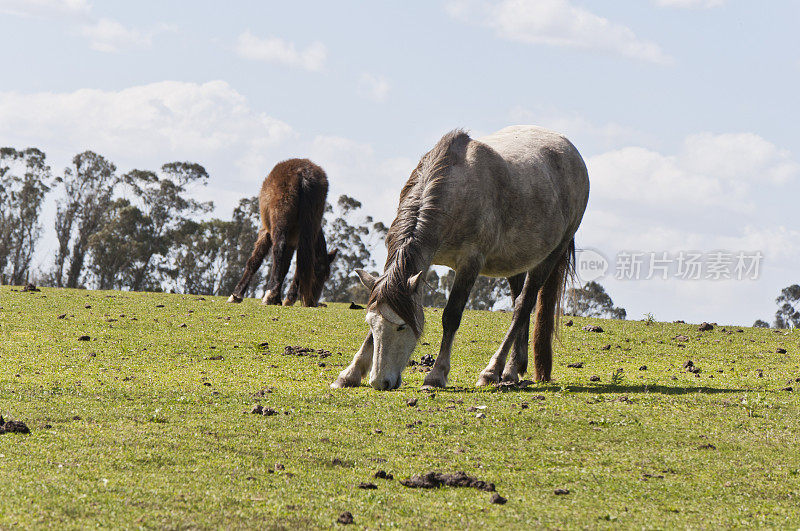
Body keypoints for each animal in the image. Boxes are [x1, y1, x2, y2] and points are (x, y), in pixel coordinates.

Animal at [227, 158, 336, 308]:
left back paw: (269, 295)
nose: (314, 302)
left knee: (278, 249)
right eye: (318, 274)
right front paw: (279, 299)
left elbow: (255, 261)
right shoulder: (292, 242)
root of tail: (303, 174)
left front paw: (236, 295)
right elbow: (285, 267)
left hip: (280, 223)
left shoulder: (266, 232)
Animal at [330, 124, 588, 390]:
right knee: (520, 304)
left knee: (522, 306)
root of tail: (572, 153)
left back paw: (492, 370)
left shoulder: (469, 264)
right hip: (516, 261)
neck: (454, 189)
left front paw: (436, 374)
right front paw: (350, 373)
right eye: (371, 324)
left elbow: (451, 316)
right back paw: (512, 370)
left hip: (550, 256)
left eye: (401, 327)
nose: (380, 382)